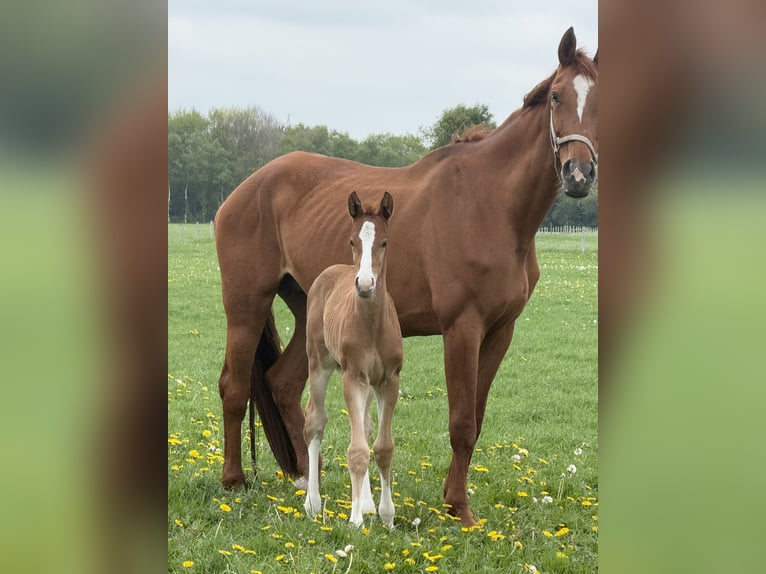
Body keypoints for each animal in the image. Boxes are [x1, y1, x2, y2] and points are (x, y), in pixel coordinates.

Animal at [302, 191, 402, 528]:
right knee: (315, 422)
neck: (372, 324)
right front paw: (356, 520)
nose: (365, 284)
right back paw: (313, 502)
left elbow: (382, 448)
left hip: (369, 385)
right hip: (319, 363)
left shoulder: (388, 380)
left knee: (366, 426)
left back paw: (368, 503)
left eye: (384, 242)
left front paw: (386, 515)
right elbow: (357, 451)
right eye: (351, 241)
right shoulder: (352, 376)